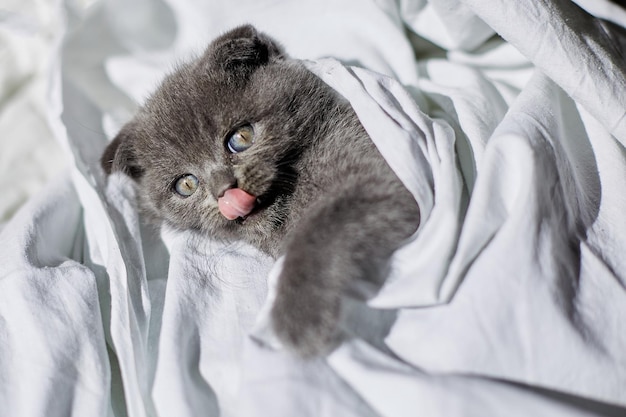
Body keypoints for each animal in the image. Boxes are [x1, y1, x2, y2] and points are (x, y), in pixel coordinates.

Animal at [100, 25, 416, 358]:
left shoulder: (380, 172)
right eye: (186, 184)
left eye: (241, 137)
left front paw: (297, 318)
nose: (225, 191)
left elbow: (324, 223)